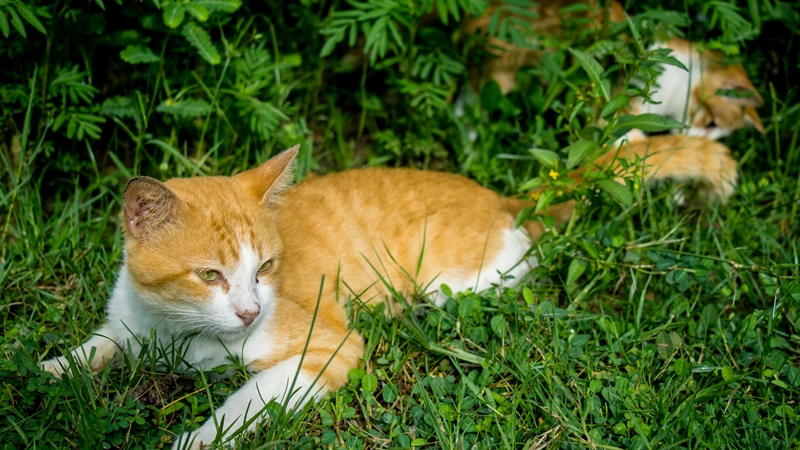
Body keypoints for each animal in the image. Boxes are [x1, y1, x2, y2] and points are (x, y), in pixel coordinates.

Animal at [42, 134, 736, 450]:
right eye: (210, 275)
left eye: (265, 268)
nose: (249, 310)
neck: (178, 335)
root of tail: (502, 196)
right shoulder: (127, 323)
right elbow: (94, 349)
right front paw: (51, 368)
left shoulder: (327, 347)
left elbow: (246, 401)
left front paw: (196, 438)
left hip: (457, 281)